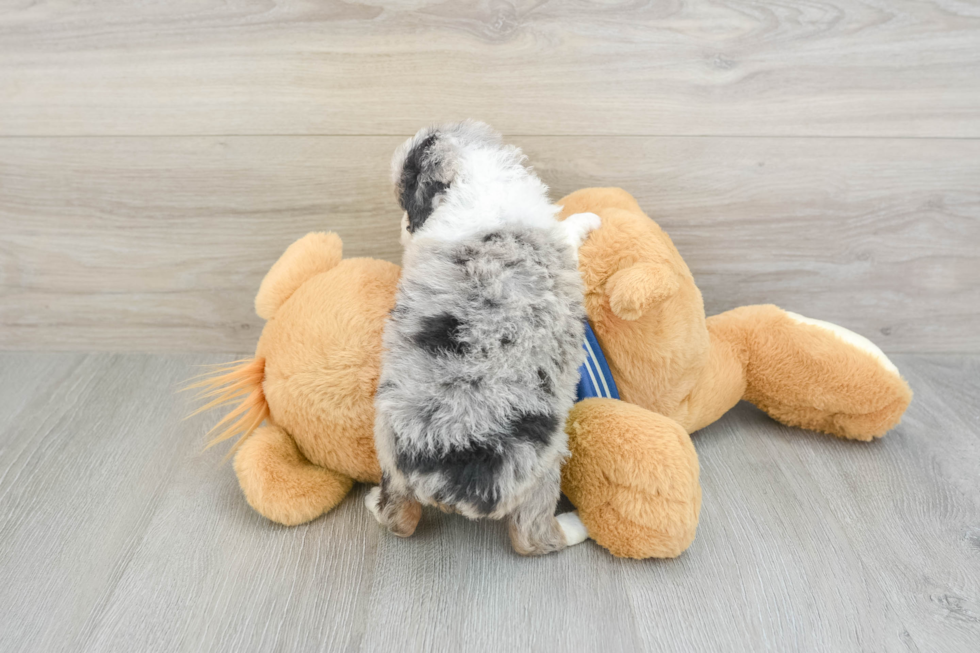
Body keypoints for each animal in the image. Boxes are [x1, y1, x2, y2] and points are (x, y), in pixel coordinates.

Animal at [366, 119, 600, 552]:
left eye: (407, 204)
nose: (403, 229)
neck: (475, 175)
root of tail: (451, 471)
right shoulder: (560, 247)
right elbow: (568, 228)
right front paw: (590, 218)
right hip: (543, 465)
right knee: (531, 536)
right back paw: (578, 525)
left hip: (388, 451)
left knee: (399, 519)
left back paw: (374, 502)